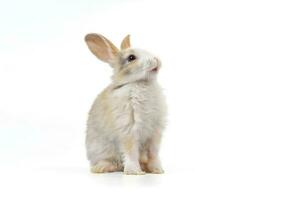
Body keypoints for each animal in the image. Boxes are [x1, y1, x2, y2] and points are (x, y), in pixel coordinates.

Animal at [83, 33, 165, 175]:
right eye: (131, 58)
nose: (156, 60)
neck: (140, 82)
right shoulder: (128, 130)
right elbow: (131, 153)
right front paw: (135, 172)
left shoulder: (155, 133)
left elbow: (153, 154)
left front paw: (157, 170)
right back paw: (103, 168)